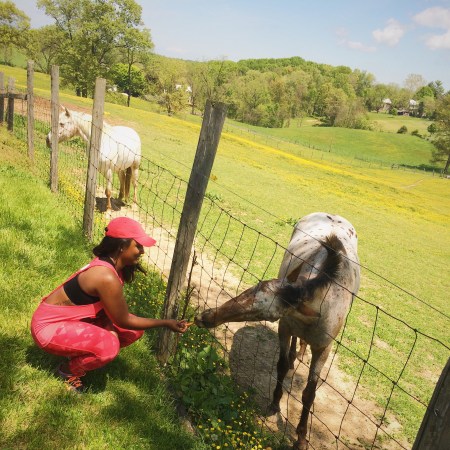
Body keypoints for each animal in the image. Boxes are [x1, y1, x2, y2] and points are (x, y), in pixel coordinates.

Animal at [195, 212, 361, 450]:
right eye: (252, 288)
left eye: (265, 313)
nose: (206, 317)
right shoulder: (285, 326)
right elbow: (280, 366)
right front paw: (274, 403)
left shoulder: (324, 348)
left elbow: (309, 393)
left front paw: (301, 437)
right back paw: (293, 357)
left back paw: (299, 354)